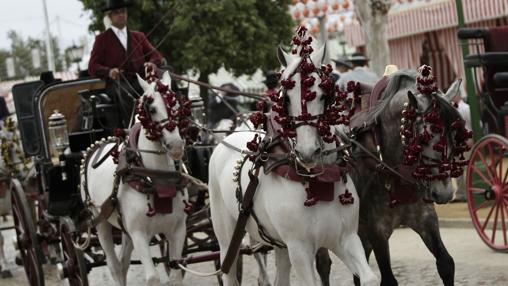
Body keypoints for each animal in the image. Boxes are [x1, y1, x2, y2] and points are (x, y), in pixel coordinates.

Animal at [82, 72, 188, 286]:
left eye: (176, 105)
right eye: (152, 109)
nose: (176, 146)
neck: (158, 180)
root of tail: (96, 147)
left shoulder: (178, 231)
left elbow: (175, 277)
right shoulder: (139, 234)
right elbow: (152, 278)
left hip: (126, 230)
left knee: (123, 264)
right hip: (100, 222)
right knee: (115, 267)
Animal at [208, 43, 380, 286]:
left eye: (324, 94)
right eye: (286, 98)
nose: (307, 152)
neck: (315, 178)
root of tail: (227, 137)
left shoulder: (346, 238)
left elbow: (370, 278)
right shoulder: (299, 249)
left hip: (279, 243)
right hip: (227, 237)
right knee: (229, 269)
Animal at [320, 70, 466, 286]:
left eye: (455, 135)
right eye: (423, 139)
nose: (444, 193)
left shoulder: (425, 218)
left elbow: (446, 264)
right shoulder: (377, 230)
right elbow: (388, 279)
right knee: (323, 264)